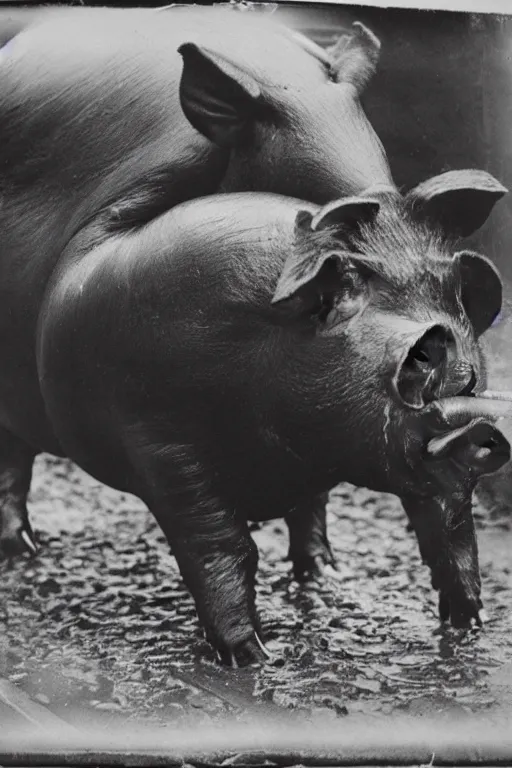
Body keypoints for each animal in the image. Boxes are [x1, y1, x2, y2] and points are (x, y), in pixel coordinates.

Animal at [2, 172, 510, 660]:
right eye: (418, 357)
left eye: (469, 378)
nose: (482, 428)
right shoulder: (160, 444)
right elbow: (222, 548)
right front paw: (256, 657)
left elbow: (448, 529)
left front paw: (470, 624)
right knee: (13, 469)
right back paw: (21, 549)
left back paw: (323, 574)